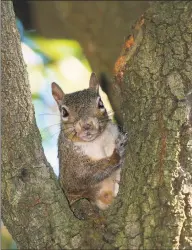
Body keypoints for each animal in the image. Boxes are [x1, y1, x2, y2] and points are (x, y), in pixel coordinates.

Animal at [51, 72, 127, 219]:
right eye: (64, 112)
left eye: (100, 103)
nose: (86, 125)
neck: (96, 141)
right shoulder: (70, 165)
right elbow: (81, 176)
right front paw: (117, 154)